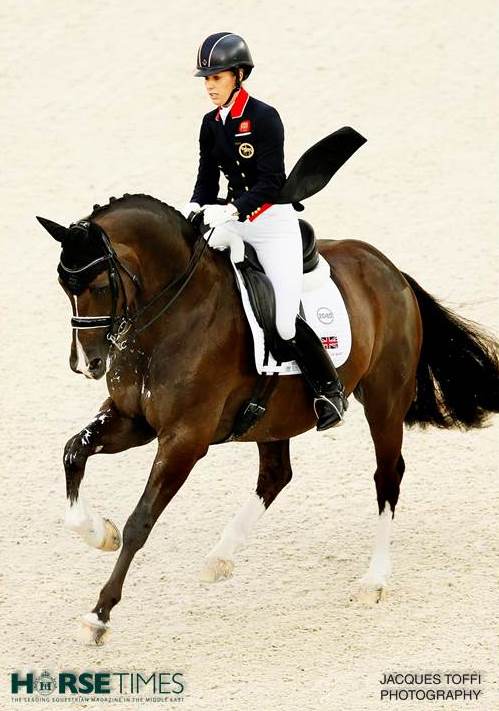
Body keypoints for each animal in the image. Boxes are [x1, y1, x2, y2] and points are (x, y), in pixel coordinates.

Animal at [37, 193, 499, 644]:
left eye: (99, 285)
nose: (86, 364)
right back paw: (219, 557)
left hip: (385, 401)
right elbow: (73, 453)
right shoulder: (133, 421)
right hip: (274, 417)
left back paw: (373, 580)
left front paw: (99, 615)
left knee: (387, 477)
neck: (174, 314)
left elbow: (140, 521)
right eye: (62, 285)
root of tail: (387, 267)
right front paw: (100, 533)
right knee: (276, 475)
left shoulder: (184, 439)